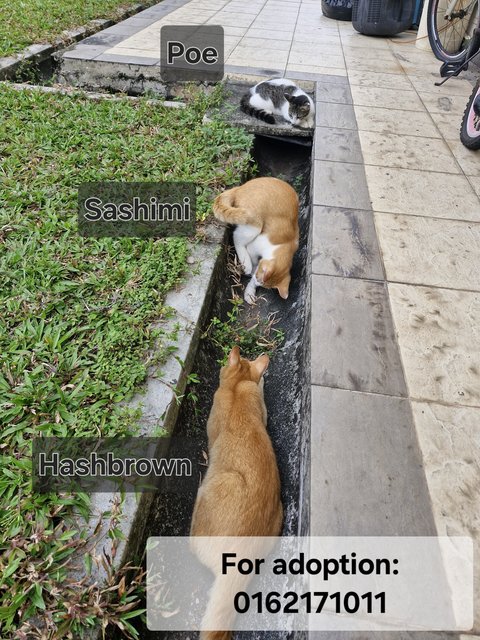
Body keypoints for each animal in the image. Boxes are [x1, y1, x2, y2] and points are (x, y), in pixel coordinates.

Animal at [213, 175, 298, 304]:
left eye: (260, 283)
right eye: (258, 276)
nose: (256, 279)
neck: (286, 244)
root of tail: (240, 188)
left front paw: (251, 291)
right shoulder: (255, 246)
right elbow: (252, 257)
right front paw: (251, 267)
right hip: (253, 224)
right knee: (236, 237)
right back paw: (246, 263)